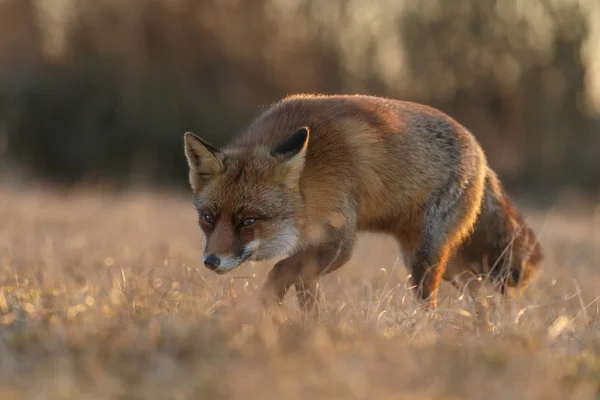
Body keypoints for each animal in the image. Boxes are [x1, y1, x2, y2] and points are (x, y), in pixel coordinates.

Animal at [182, 94, 540, 312]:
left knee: (434, 303)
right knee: (477, 292)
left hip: (425, 259)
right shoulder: (311, 247)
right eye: (208, 218)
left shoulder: (339, 243)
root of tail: (480, 151)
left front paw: (263, 311)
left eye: (248, 221)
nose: (211, 261)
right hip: (441, 259)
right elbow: (303, 289)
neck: (309, 184)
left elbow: (280, 271)